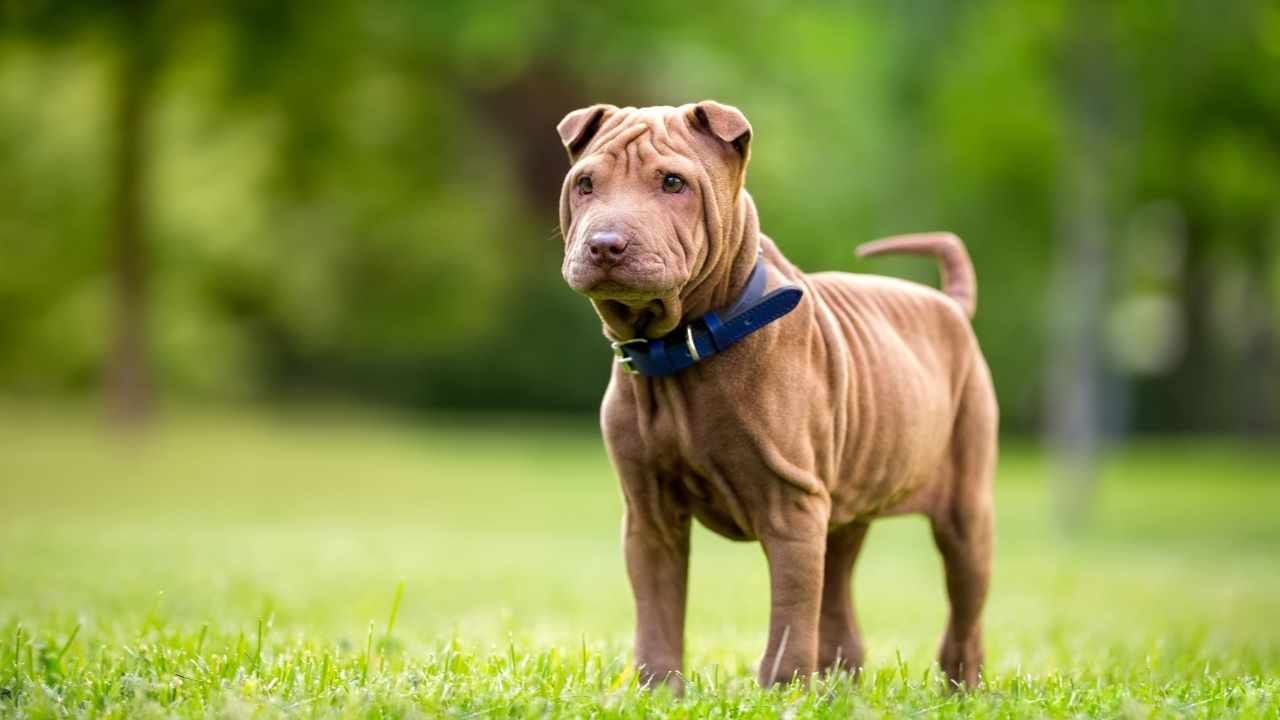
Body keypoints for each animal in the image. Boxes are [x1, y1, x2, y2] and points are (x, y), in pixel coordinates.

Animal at [555, 102, 993, 691]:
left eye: (672, 183)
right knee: (840, 602)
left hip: (965, 509)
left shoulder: (792, 507)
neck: (682, 350)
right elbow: (658, 611)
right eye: (585, 184)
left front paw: (782, 692)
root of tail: (951, 306)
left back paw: (961, 689)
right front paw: (657, 691)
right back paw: (839, 688)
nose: (605, 244)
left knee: (963, 612)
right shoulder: (649, 514)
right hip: (845, 508)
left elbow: (789, 615)